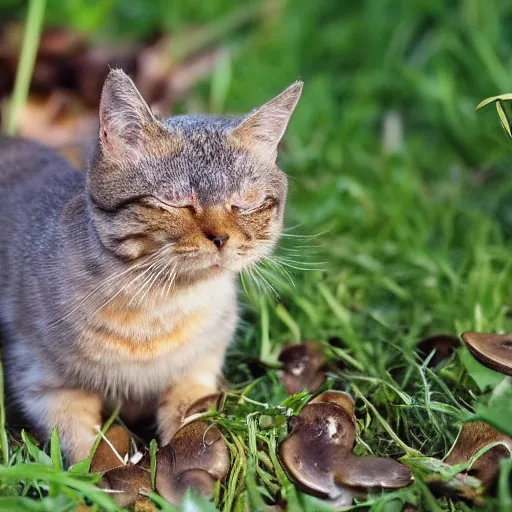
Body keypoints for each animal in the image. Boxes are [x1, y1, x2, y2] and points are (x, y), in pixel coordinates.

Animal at [0, 69, 304, 464]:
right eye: (175, 202)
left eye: (244, 203)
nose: (220, 238)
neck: (158, 306)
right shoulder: (45, 384)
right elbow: (89, 452)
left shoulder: (198, 371)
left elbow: (192, 420)